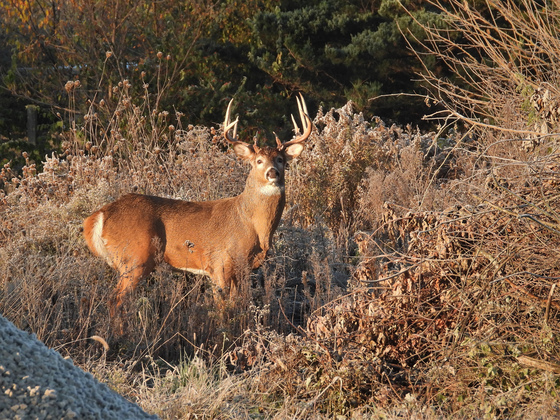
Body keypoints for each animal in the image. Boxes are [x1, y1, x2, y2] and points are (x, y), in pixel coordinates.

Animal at [83, 92, 312, 316]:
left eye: (281, 159)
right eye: (258, 161)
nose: (272, 173)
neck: (252, 225)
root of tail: (100, 214)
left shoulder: (245, 269)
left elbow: (240, 307)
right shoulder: (220, 264)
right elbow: (222, 310)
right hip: (134, 258)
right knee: (115, 300)